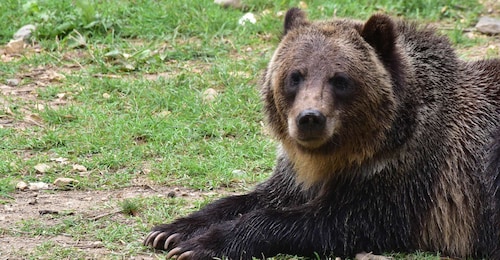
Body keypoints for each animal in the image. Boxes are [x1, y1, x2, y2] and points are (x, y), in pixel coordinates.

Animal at [144, 8, 500, 260]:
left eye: (340, 79)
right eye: (295, 76)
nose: (310, 118)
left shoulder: (404, 177)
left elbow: (328, 221)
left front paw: (201, 245)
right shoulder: (297, 173)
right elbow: (253, 197)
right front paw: (170, 231)